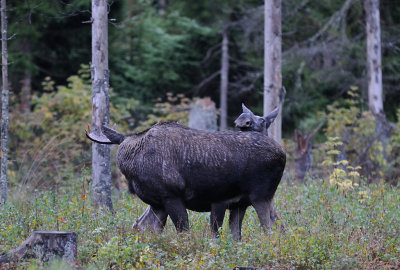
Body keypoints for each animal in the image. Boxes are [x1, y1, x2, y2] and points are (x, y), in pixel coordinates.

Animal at [86, 117, 284, 239]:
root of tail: (283, 154)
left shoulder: (171, 196)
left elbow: (183, 233)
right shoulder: (157, 203)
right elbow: (146, 229)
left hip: (260, 196)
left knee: (271, 230)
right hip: (242, 203)